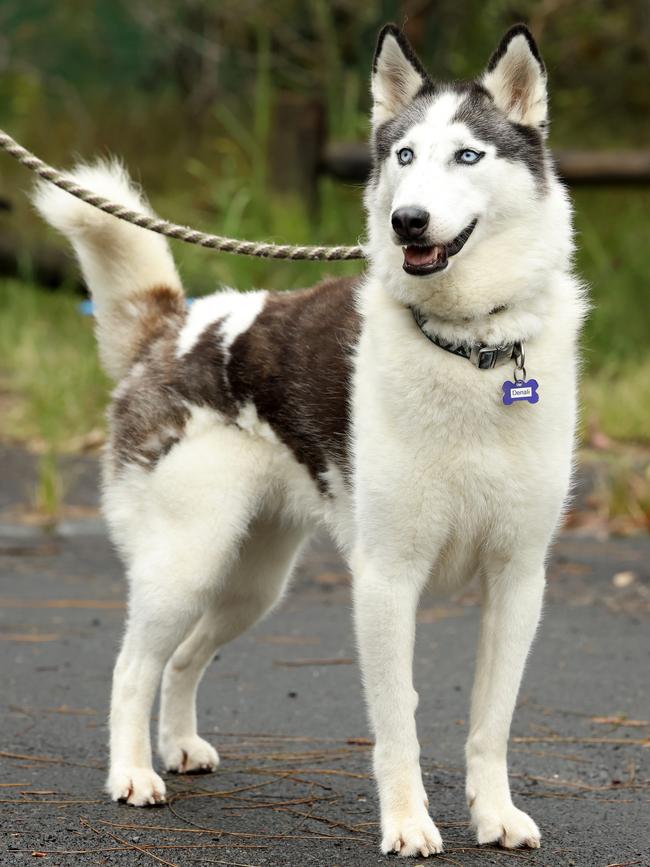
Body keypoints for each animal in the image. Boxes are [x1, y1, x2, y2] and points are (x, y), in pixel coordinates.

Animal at [33, 23, 584, 856]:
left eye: (467, 156)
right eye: (403, 156)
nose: (407, 221)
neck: (467, 349)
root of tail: (172, 325)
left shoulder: (517, 580)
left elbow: (491, 723)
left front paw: (494, 814)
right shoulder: (387, 582)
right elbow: (399, 725)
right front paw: (408, 823)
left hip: (252, 585)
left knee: (182, 660)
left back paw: (179, 747)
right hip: (187, 566)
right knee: (132, 668)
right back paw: (133, 774)